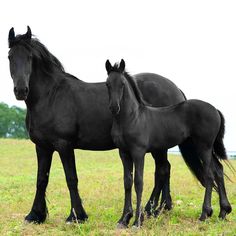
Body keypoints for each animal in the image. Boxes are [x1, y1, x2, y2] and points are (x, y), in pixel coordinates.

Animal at [7, 26, 188, 224]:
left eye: (30, 57)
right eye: (10, 56)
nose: (21, 90)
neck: (51, 96)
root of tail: (176, 89)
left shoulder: (64, 145)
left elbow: (71, 178)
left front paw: (76, 216)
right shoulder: (42, 146)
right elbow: (41, 179)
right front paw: (35, 215)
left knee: (162, 170)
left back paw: (150, 209)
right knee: (164, 169)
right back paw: (161, 208)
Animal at [106, 59, 231, 229]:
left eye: (123, 84)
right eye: (107, 84)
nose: (114, 107)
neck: (132, 118)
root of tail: (215, 109)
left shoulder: (138, 152)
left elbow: (139, 182)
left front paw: (137, 222)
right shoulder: (124, 153)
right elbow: (127, 182)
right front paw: (123, 220)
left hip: (203, 147)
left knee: (209, 175)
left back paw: (205, 214)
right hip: (206, 148)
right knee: (218, 170)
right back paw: (222, 212)